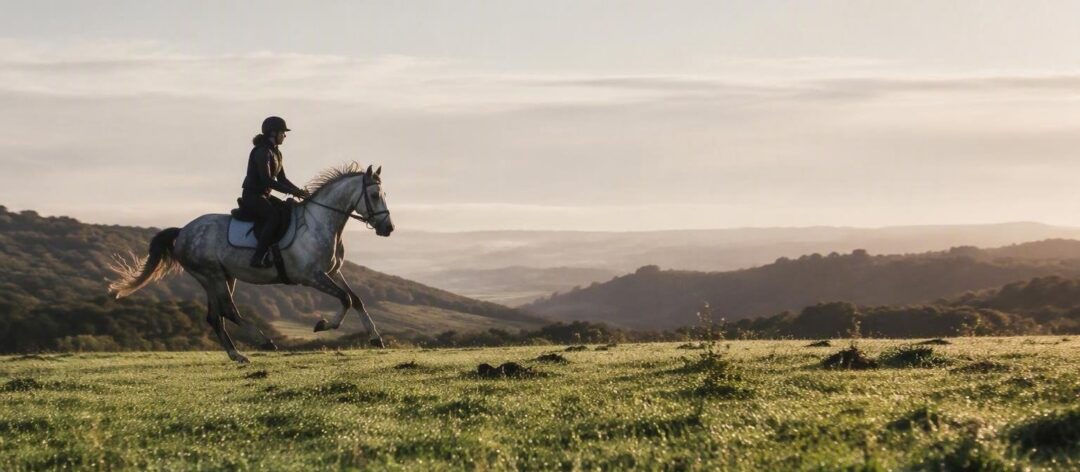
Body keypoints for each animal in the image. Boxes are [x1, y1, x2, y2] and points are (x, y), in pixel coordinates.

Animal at [107, 163, 393, 363]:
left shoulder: (333, 272)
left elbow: (355, 299)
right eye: (374, 195)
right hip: (212, 275)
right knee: (229, 311)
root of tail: (183, 231)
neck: (319, 222)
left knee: (215, 317)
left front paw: (375, 338)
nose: (388, 228)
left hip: (220, 277)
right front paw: (322, 325)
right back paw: (264, 342)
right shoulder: (311, 276)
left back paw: (237, 355)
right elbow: (344, 299)